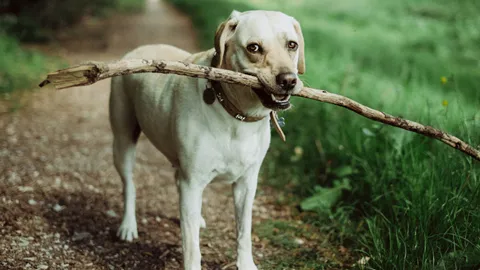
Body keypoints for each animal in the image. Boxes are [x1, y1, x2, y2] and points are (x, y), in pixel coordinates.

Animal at [109, 9, 304, 270]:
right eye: (253, 48)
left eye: (292, 45)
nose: (288, 80)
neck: (236, 115)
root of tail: (136, 50)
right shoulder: (192, 182)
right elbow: (192, 247)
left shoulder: (246, 183)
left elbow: (244, 231)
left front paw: (246, 263)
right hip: (123, 141)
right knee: (129, 185)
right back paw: (128, 226)